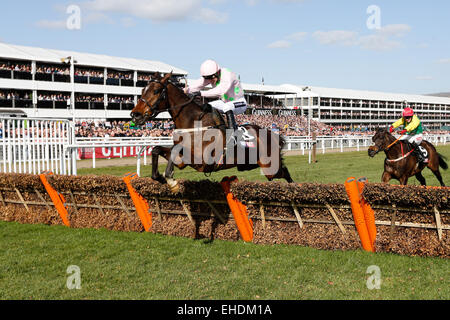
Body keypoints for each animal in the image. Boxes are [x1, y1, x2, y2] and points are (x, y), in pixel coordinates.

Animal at [129, 72, 296, 190]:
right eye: (143, 90)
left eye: (156, 91)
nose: (135, 114)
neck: (194, 124)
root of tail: (271, 134)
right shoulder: (182, 161)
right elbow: (157, 149)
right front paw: (160, 177)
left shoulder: (203, 161)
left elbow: (175, 150)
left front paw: (171, 180)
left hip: (270, 167)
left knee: (285, 172)